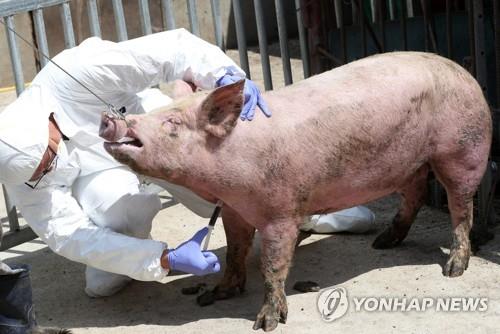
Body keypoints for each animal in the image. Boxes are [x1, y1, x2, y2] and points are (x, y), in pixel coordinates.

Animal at [98, 52, 492, 332]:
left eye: (172, 123)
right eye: (162, 111)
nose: (110, 118)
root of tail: (463, 70)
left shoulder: (281, 209)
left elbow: (273, 263)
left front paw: (266, 322)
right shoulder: (234, 209)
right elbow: (236, 250)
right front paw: (215, 294)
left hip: (463, 149)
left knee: (461, 205)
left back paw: (454, 269)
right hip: (409, 162)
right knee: (415, 193)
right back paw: (382, 242)